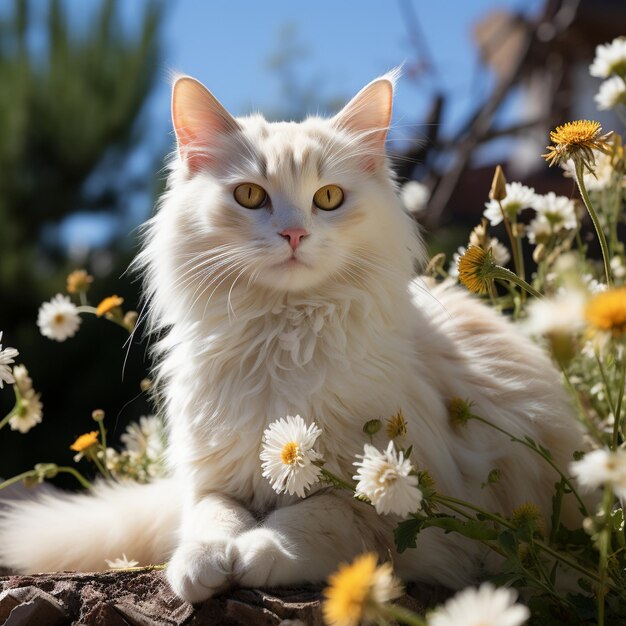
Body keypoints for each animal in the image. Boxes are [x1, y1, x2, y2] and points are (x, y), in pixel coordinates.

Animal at [0, 72, 584, 600]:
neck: (282, 336)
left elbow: (317, 518)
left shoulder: (409, 500)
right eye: (249, 195)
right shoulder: (214, 481)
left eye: (327, 198)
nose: (294, 233)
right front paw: (204, 563)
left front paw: (256, 553)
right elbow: (212, 518)